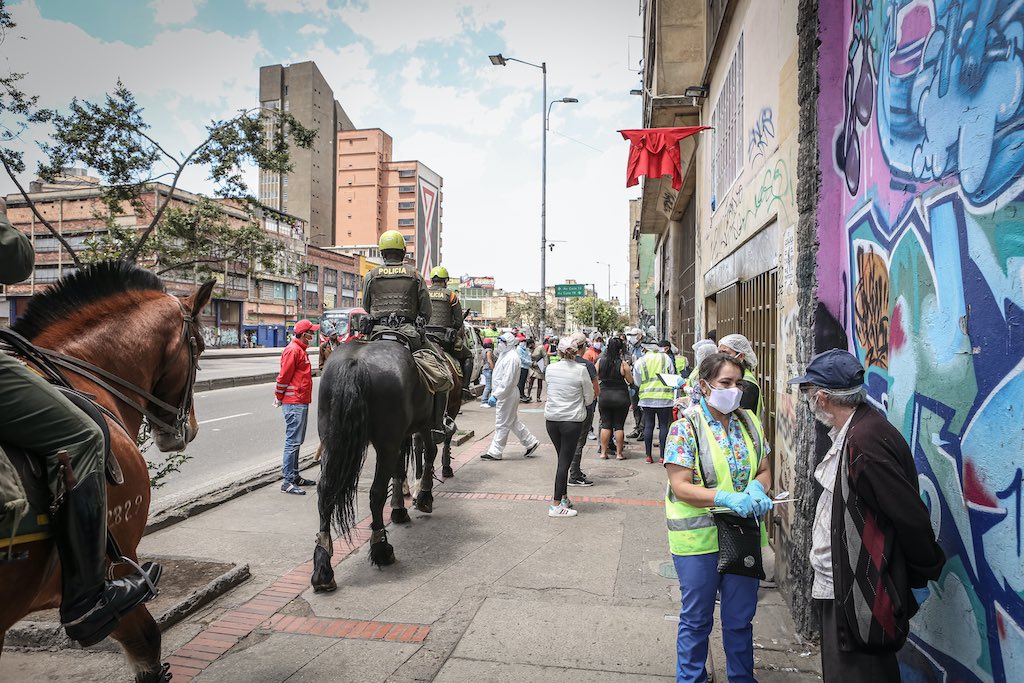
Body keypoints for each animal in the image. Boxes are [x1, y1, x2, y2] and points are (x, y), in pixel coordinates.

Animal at [307, 339, 460, 589]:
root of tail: (356, 362)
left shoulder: (402, 436)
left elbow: (400, 468)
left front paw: (400, 507)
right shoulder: (425, 425)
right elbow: (429, 453)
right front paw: (423, 497)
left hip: (331, 440)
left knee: (325, 493)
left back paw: (323, 567)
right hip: (387, 441)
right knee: (376, 493)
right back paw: (381, 549)